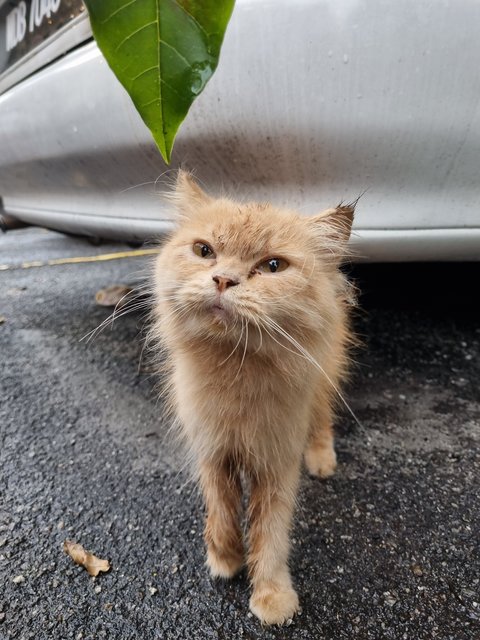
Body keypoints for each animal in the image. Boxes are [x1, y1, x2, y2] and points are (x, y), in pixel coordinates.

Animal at [152, 172, 354, 624]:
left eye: (272, 266)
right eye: (204, 251)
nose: (223, 280)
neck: (236, 367)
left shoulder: (277, 464)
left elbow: (271, 533)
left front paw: (272, 596)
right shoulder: (213, 452)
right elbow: (222, 511)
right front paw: (225, 558)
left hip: (324, 385)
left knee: (322, 422)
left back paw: (322, 460)